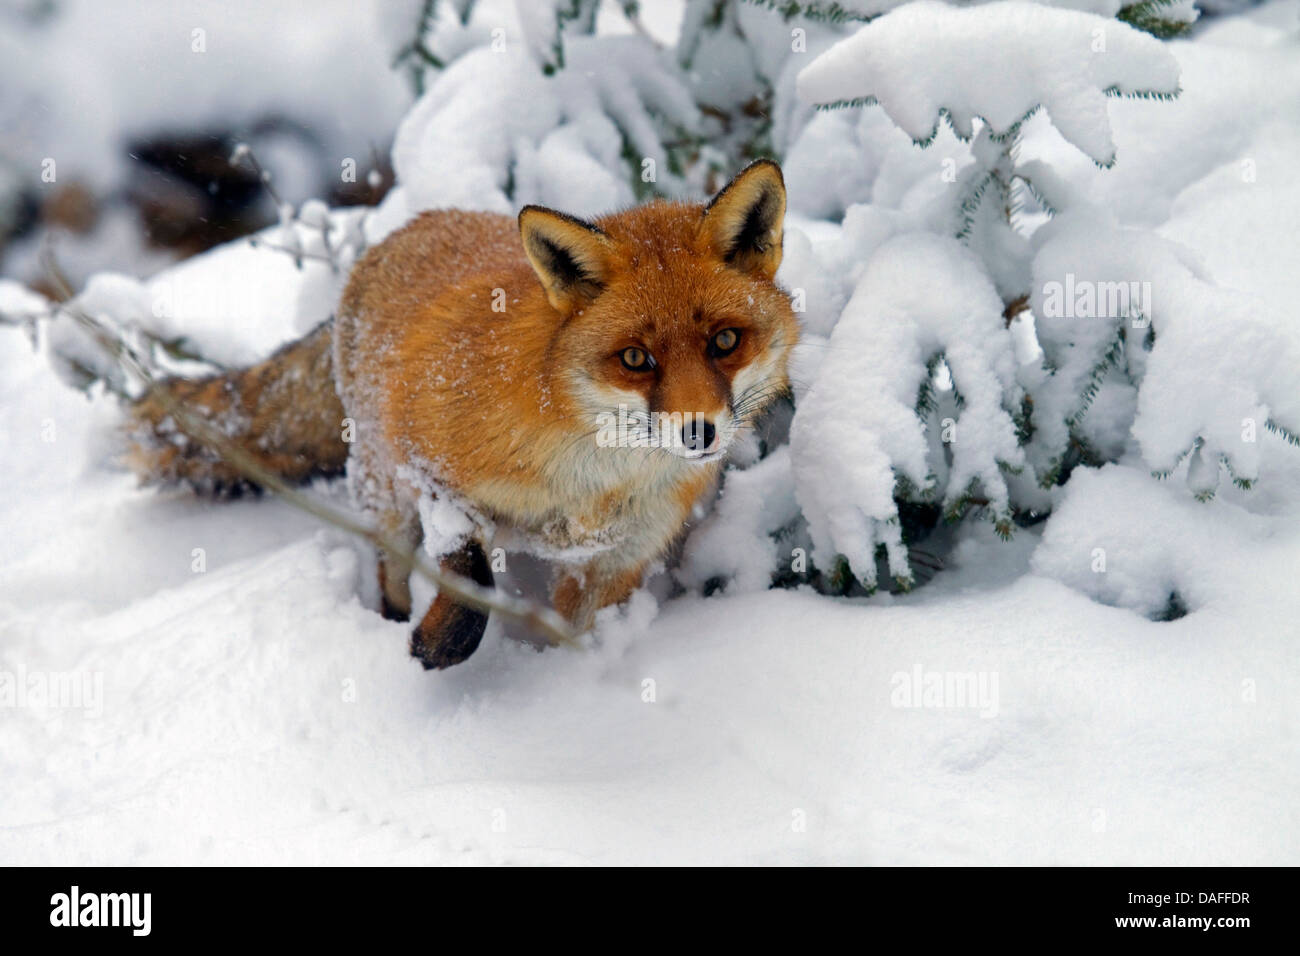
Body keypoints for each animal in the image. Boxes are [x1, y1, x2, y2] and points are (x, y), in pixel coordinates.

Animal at [126, 158, 795, 665]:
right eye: (635, 358)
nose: (699, 433)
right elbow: (471, 573)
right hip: (384, 492)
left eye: (725, 342)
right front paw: (439, 644)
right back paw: (393, 623)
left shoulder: (618, 560)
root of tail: (406, 227)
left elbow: (572, 635)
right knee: (389, 570)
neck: (591, 483)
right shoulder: (431, 466)